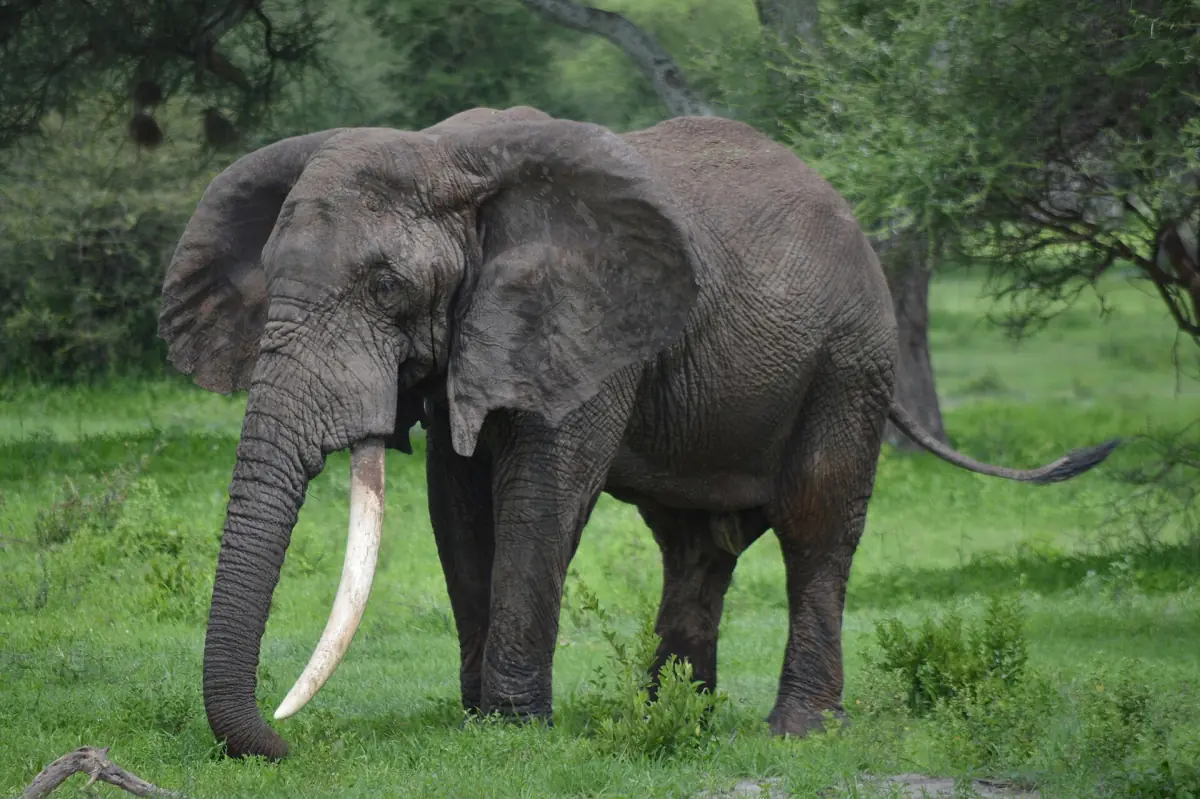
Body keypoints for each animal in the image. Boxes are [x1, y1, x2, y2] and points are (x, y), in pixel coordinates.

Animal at [157, 105, 1118, 760]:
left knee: (815, 526)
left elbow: (540, 493)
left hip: (850, 361)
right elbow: (456, 505)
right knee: (696, 546)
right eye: (269, 279)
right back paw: (675, 720)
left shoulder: (585, 324)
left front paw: (511, 731)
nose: (283, 738)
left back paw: (796, 733)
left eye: (387, 288)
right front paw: (478, 719)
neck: (447, 153)